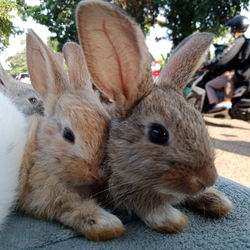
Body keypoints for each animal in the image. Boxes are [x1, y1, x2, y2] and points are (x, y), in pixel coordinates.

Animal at [15, 29, 125, 242]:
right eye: (68, 134)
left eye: (108, 123)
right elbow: (69, 205)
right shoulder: (44, 191)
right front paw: (108, 225)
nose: (99, 172)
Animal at [76, 0, 234, 234]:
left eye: (199, 119)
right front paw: (171, 218)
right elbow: (145, 204)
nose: (208, 178)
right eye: (158, 133)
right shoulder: (120, 187)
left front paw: (217, 200)